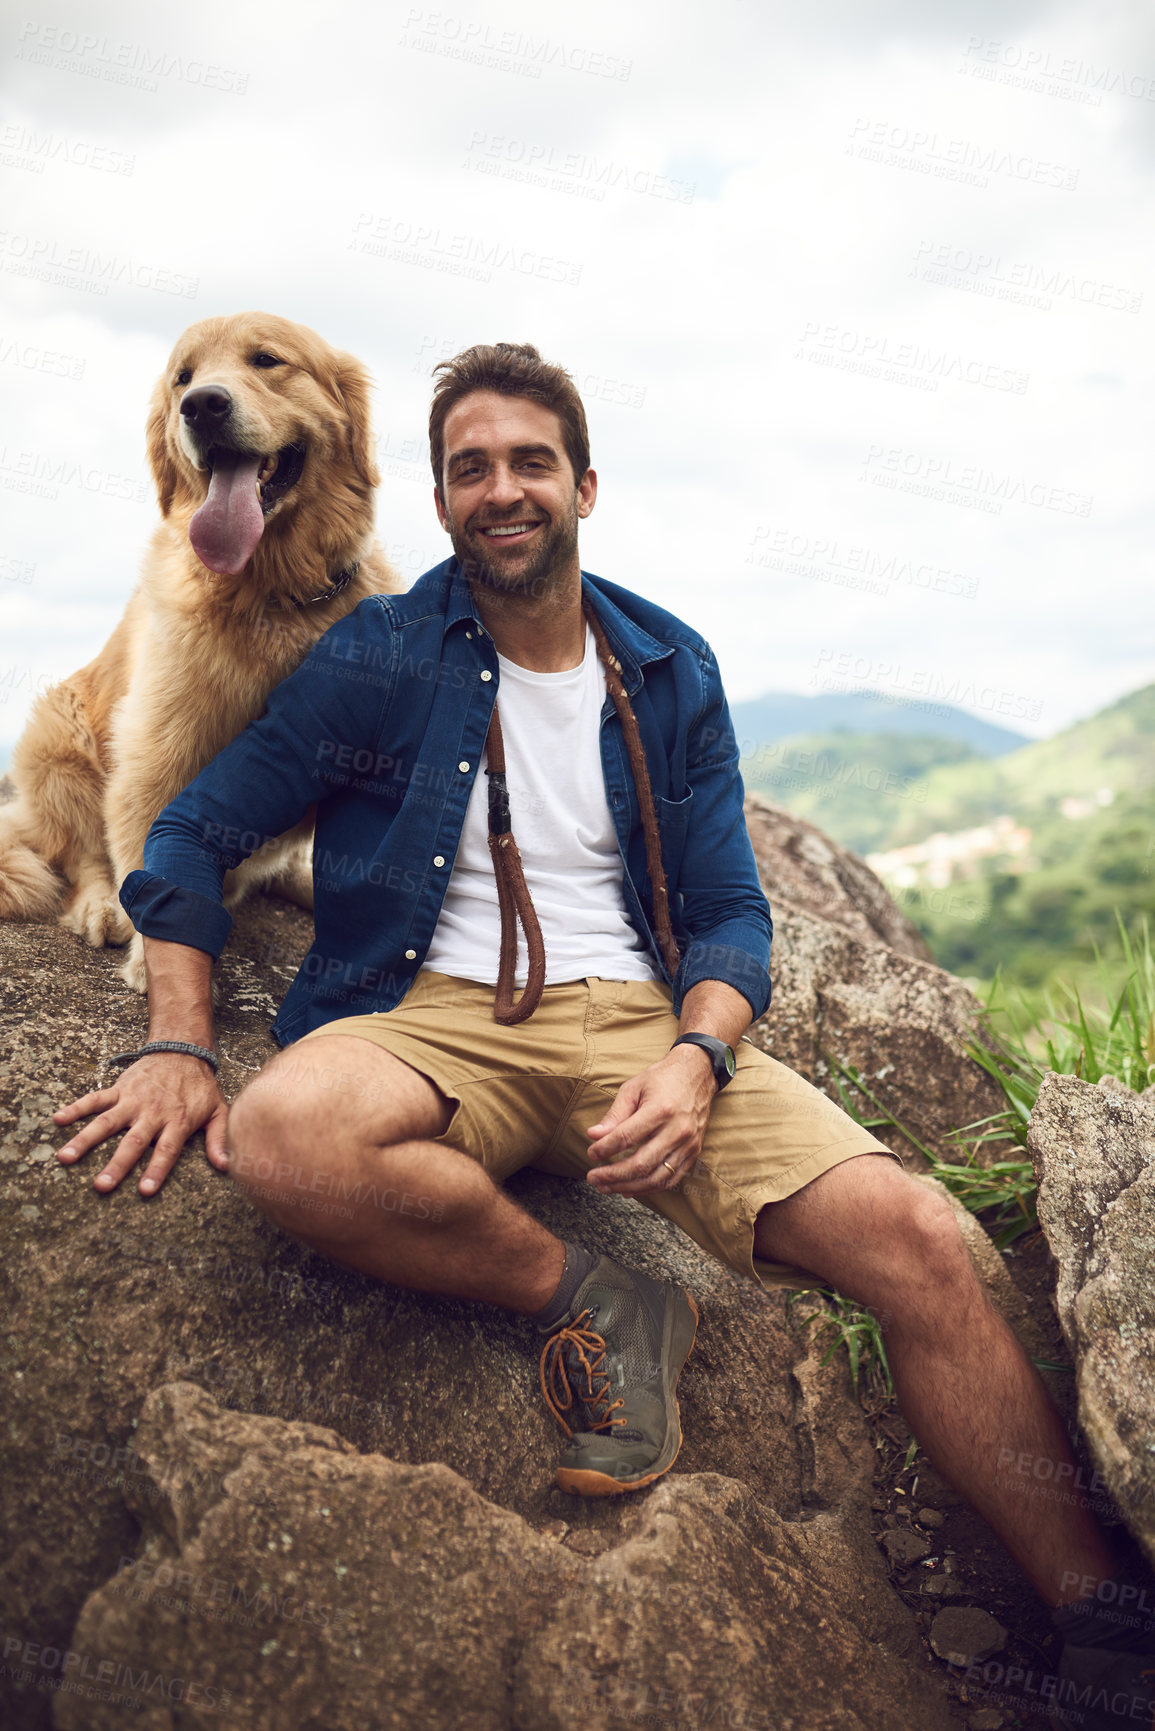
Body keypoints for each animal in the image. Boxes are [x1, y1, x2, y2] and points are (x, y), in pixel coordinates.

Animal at [0, 311, 406, 990]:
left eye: (267, 359)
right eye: (182, 379)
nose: (202, 406)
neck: (272, 594)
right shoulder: (159, 748)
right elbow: (148, 845)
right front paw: (154, 961)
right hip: (57, 742)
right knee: (78, 854)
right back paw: (102, 908)